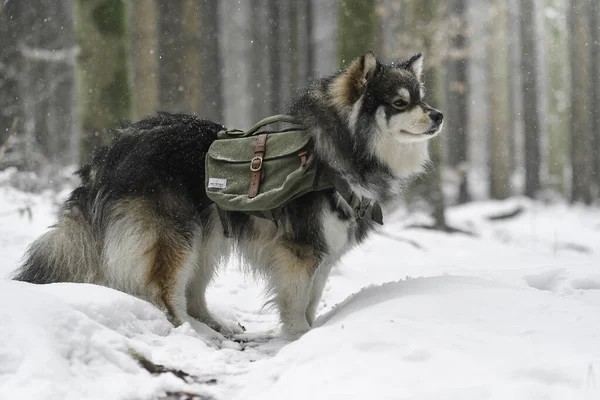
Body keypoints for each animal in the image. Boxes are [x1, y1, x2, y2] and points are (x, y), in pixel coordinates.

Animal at [12, 51, 440, 340]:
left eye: (421, 97)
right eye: (400, 102)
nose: (438, 115)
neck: (332, 152)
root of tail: (111, 151)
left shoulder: (323, 253)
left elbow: (313, 300)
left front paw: (312, 334)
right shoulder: (300, 252)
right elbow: (296, 304)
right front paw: (301, 338)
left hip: (207, 238)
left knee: (192, 294)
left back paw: (215, 327)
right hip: (176, 237)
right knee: (165, 293)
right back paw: (191, 336)